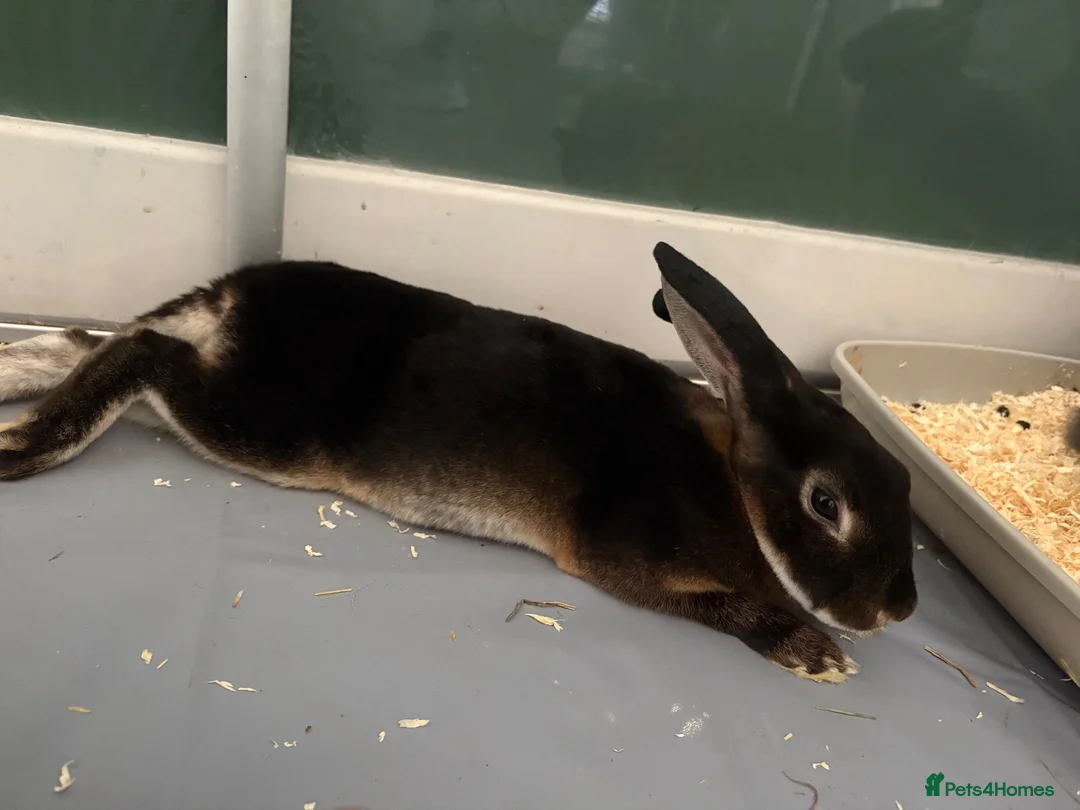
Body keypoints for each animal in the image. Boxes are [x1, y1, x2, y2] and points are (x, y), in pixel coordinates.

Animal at [0, 242, 916, 683]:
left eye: (905, 483)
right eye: (826, 503)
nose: (898, 610)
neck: (730, 484)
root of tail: (231, 296)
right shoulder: (620, 563)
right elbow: (723, 607)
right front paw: (818, 655)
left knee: (87, 341)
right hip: (260, 422)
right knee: (139, 351)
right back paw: (28, 445)